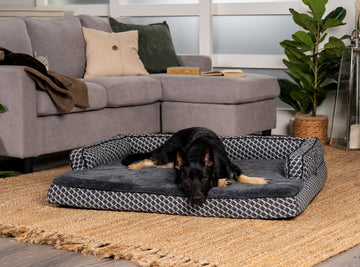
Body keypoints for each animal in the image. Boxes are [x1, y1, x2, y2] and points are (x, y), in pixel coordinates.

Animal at [122, 127, 268, 205]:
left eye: (204, 179)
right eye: (187, 181)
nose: (197, 199)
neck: (197, 156)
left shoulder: (233, 167)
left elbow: (241, 176)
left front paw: (258, 181)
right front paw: (221, 182)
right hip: (168, 160)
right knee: (148, 159)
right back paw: (135, 166)